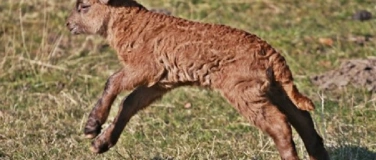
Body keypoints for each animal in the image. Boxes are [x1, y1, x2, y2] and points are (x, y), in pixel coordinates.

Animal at [67, 0, 328, 159]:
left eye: (84, 6)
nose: (68, 24)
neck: (128, 24)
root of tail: (272, 55)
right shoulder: (161, 81)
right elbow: (129, 103)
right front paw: (101, 143)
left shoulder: (146, 66)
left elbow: (112, 82)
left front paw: (92, 127)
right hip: (272, 87)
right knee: (302, 118)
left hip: (243, 88)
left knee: (280, 124)